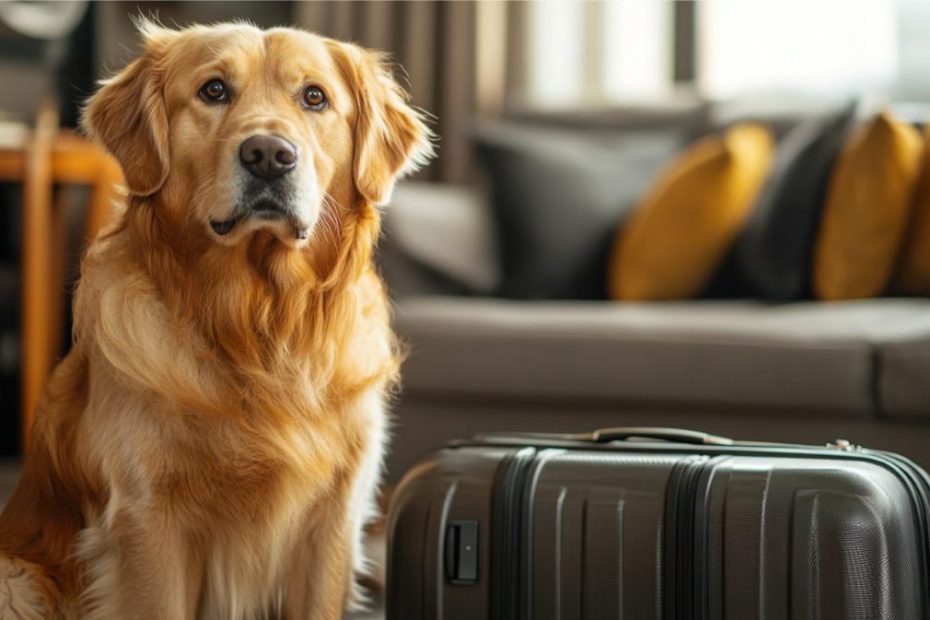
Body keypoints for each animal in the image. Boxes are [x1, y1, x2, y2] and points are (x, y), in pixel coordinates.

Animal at [0, 19, 430, 620]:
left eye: (314, 97)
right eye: (214, 90)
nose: (269, 154)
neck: (260, 323)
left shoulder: (334, 520)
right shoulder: (150, 520)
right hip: (16, 580)